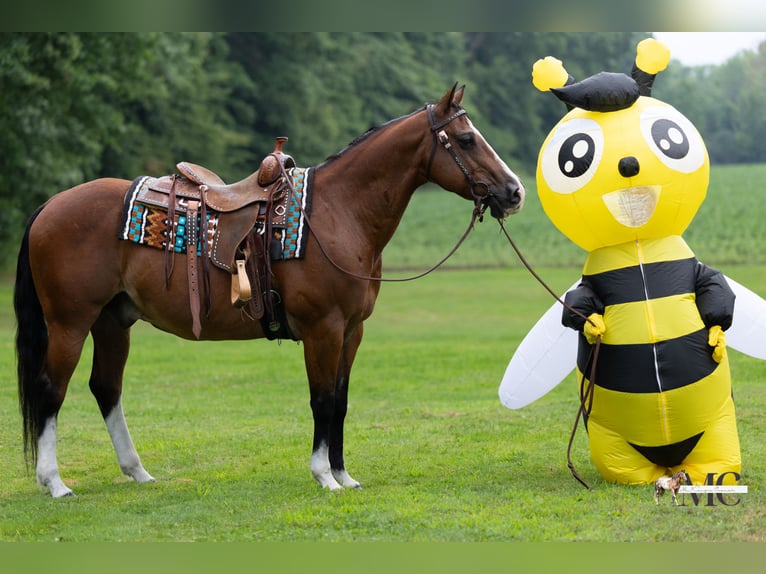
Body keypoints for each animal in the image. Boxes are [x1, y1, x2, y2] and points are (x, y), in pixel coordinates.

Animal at [14, 83, 525, 498]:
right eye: (466, 139)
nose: (515, 191)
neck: (337, 214)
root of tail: (49, 205)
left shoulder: (351, 331)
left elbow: (340, 402)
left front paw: (344, 475)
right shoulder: (323, 329)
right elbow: (322, 400)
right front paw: (324, 476)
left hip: (112, 322)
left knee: (106, 388)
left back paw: (136, 471)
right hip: (70, 323)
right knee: (51, 390)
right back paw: (54, 482)